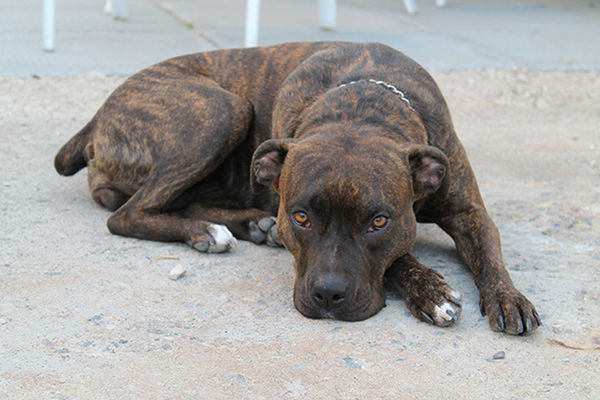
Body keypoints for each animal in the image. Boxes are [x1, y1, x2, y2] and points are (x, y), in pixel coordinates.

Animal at [56, 41, 540, 334]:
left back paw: (253, 224)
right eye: (302, 217)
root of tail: (97, 118)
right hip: (222, 111)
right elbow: (400, 259)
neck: (361, 108)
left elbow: (489, 255)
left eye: (378, 222)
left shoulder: (468, 212)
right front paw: (431, 290)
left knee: (179, 201)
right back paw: (207, 232)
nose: (328, 294)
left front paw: (508, 297)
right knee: (128, 215)